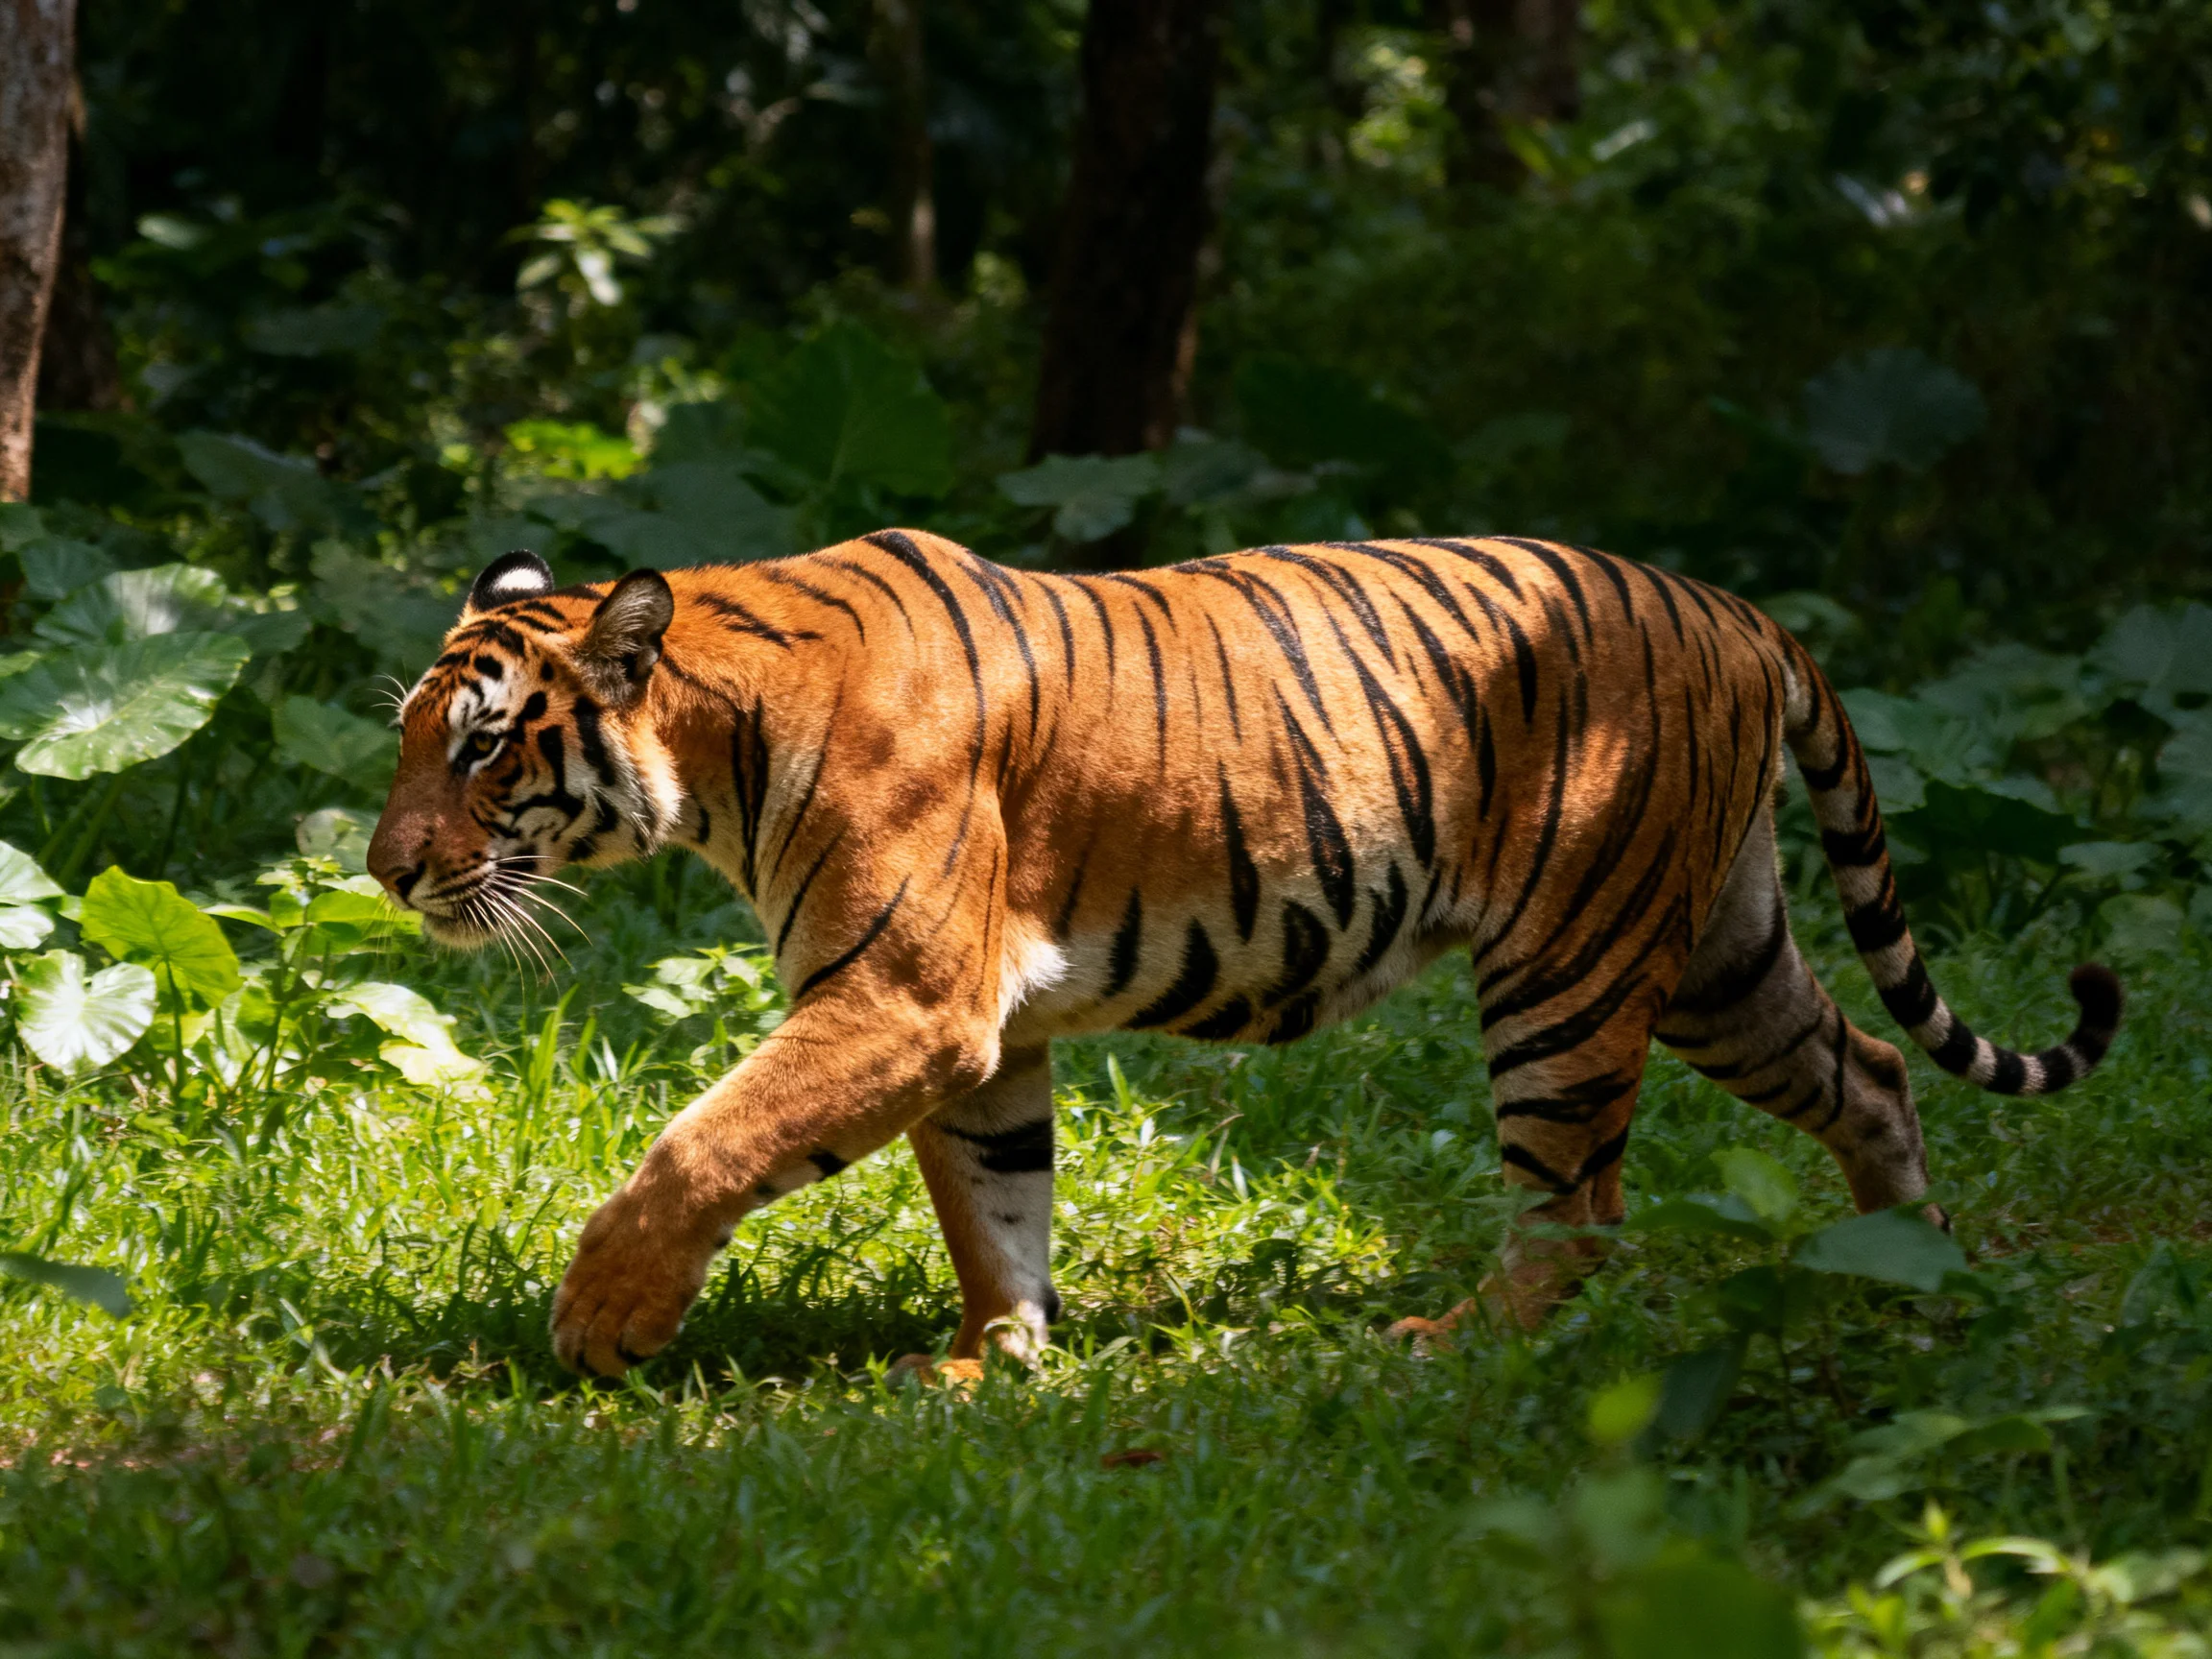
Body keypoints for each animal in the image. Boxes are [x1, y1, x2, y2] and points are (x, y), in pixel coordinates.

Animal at [366, 530, 2121, 1378]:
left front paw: (603, 1322)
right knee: (1873, 1066)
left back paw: (1449, 1345)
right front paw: (992, 1362)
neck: (714, 746)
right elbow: (995, 1204)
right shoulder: (980, 1033)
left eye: (477, 749)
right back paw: (1913, 1269)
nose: (384, 871)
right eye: (407, 741)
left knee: (1578, 1207)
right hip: (1718, 959)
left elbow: (701, 1141)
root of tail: (1739, 609)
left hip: (1568, 969)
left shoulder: (903, 1000)